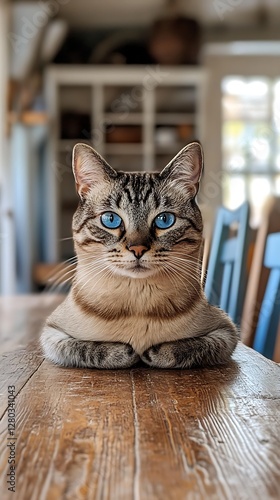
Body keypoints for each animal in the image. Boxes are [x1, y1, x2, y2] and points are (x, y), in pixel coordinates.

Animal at [41, 143, 238, 370]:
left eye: (164, 220)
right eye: (110, 219)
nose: (137, 249)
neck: (137, 302)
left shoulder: (226, 332)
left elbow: (182, 349)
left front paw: (150, 353)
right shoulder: (52, 334)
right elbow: (92, 349)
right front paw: (128, 352)